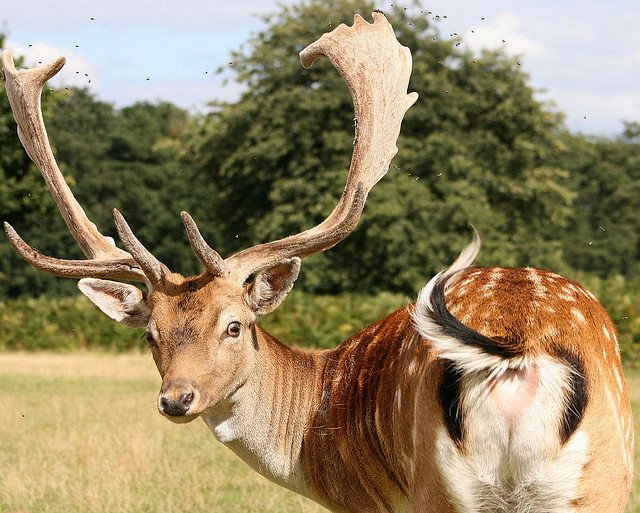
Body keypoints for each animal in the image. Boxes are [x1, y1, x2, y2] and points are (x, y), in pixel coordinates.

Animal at [1, 11, 636, 512]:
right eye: (150, 334)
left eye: (235, 326)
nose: (176, 398)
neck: (314, 432)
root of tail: (518, 354)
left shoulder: (367, 503)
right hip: (602, 481)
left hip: (443, 487)